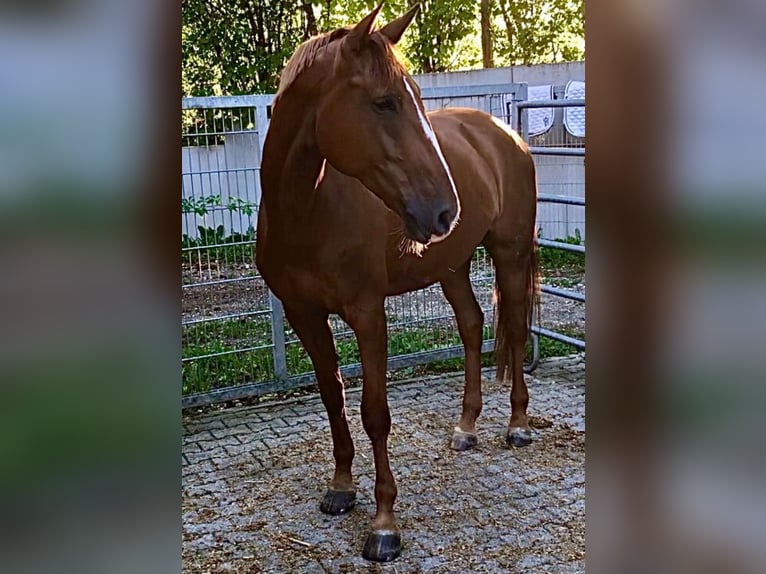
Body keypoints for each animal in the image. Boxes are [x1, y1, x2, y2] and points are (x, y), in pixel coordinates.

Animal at [258, 2, 540, 564]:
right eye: (384, 102)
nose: (445, 210)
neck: (307, 212)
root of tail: (508, 134)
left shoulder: (368, 314)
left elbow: (375, 413)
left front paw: (384, 524)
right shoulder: (304, 314)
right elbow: (333, 396)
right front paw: (341, 487)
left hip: (510, 253)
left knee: (516, 331)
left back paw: (516, 426)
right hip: (452, 266)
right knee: (472, 326)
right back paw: (466, 428)